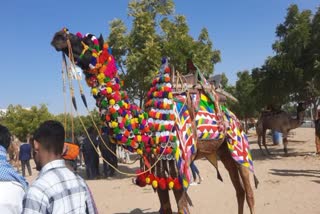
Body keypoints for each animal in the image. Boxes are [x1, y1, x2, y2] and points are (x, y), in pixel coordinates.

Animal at [52, 28, 258, 214]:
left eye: (89, 38)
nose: (59, 35)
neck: (148, 126)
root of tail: (234, 116)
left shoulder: (178, 169)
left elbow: (182, 209)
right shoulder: (157, 171)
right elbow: (165, 207)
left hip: (238, 146)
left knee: (248, 192)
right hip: (223, 151)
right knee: (239, 190)